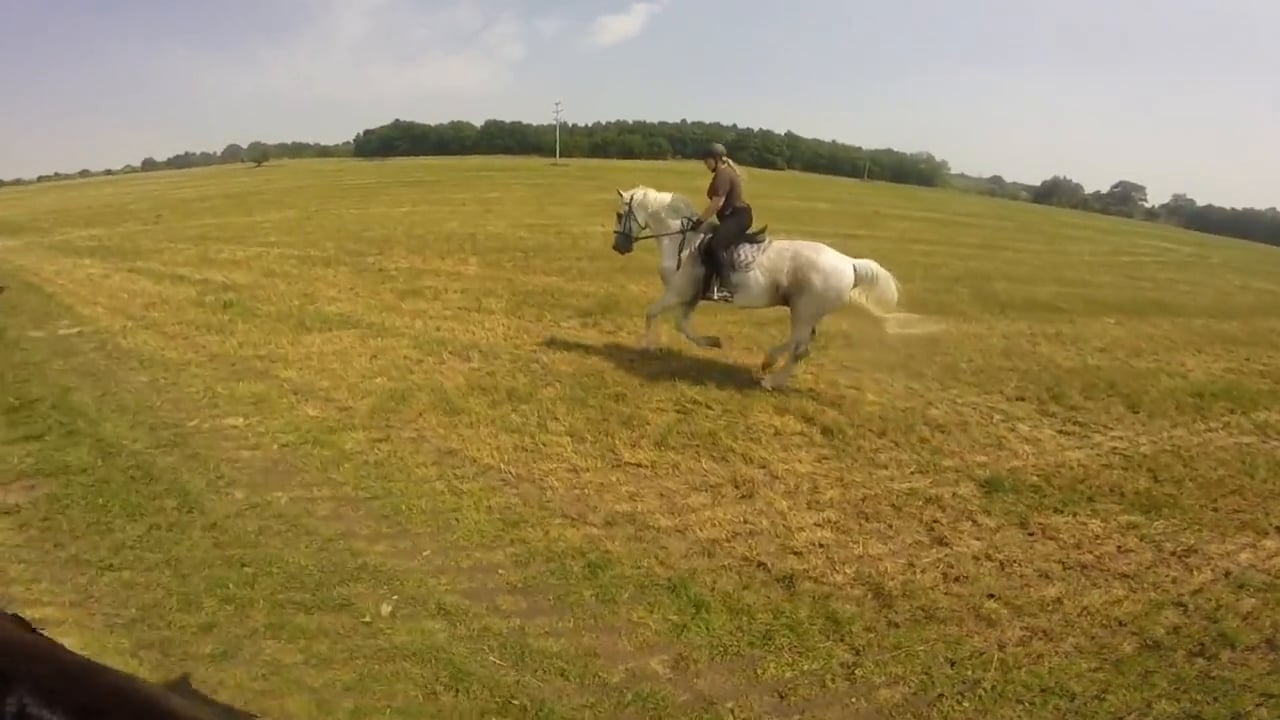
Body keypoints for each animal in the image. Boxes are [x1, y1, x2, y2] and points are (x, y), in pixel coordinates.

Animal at [609, 185, 936, 390]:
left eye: (619, 214)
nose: (618, 247)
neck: (683, 240)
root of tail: (849, 263)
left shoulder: (676, 293)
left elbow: (652, 313)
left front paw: (646, 345)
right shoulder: (690, 296)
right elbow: (683, 325)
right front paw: (713, 342)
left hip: (804, 310)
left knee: (799, 346)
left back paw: (771, 378)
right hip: (808, 312)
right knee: (800, 345)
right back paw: (769, 365)